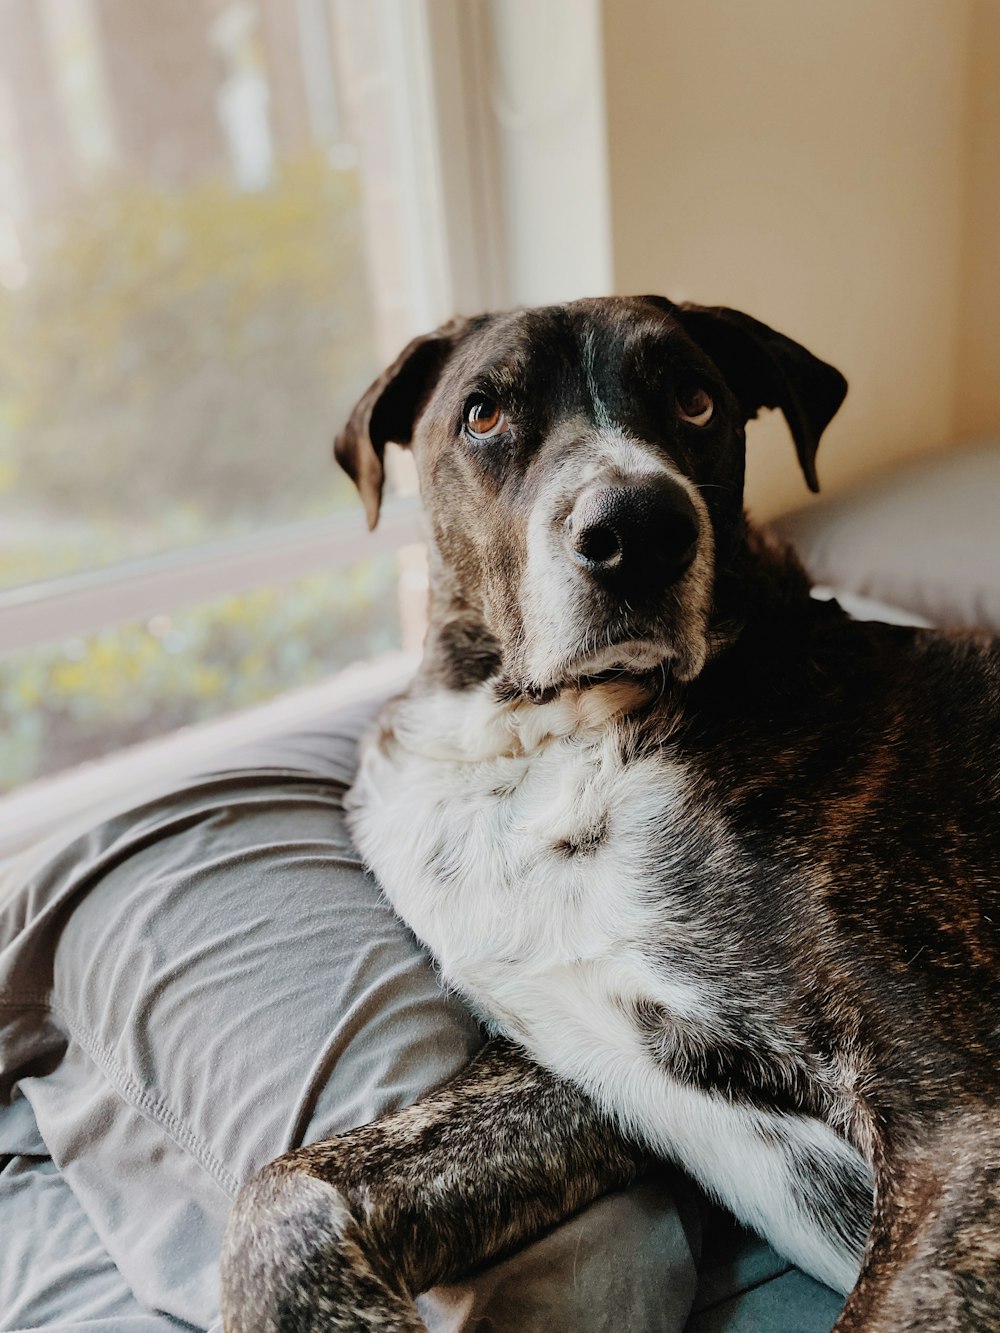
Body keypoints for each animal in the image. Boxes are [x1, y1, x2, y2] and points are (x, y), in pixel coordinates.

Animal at [221, 299, 1000, 1333]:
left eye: (697, 399)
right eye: (483, 414)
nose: (639, 528)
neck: (547, 739)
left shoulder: (958, 1114)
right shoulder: (576, 1064)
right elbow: (283, 1186)